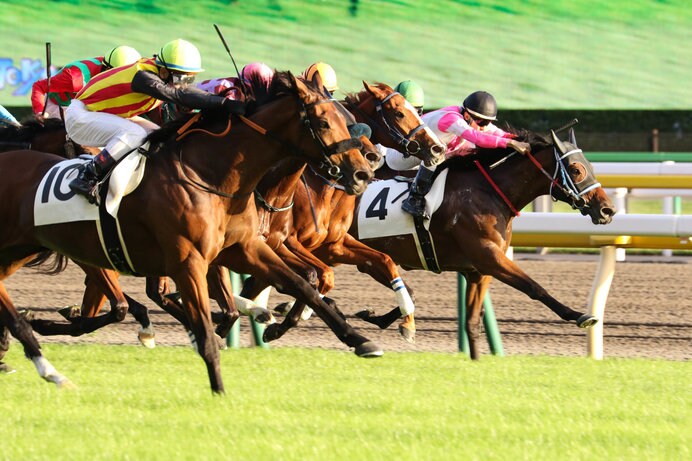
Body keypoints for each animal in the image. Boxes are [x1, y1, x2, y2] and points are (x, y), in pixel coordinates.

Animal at [0, 70, 378, 390]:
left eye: (348, 122)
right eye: (323, 122)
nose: (363, 173)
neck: (209, 174)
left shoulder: (244, 249)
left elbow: (303, 285)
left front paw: (360, 340)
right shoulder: (188, 262)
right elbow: (204, 328)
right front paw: (218, 389)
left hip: (20, 250)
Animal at [352, 126, 616, 360]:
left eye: (591, 166)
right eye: (576, 169)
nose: (608, 209)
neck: (489, 191)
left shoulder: (478, 271)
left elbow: (472, 322)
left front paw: (476, 361)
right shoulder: (489, 257)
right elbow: (534, 287)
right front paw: (581, 316)